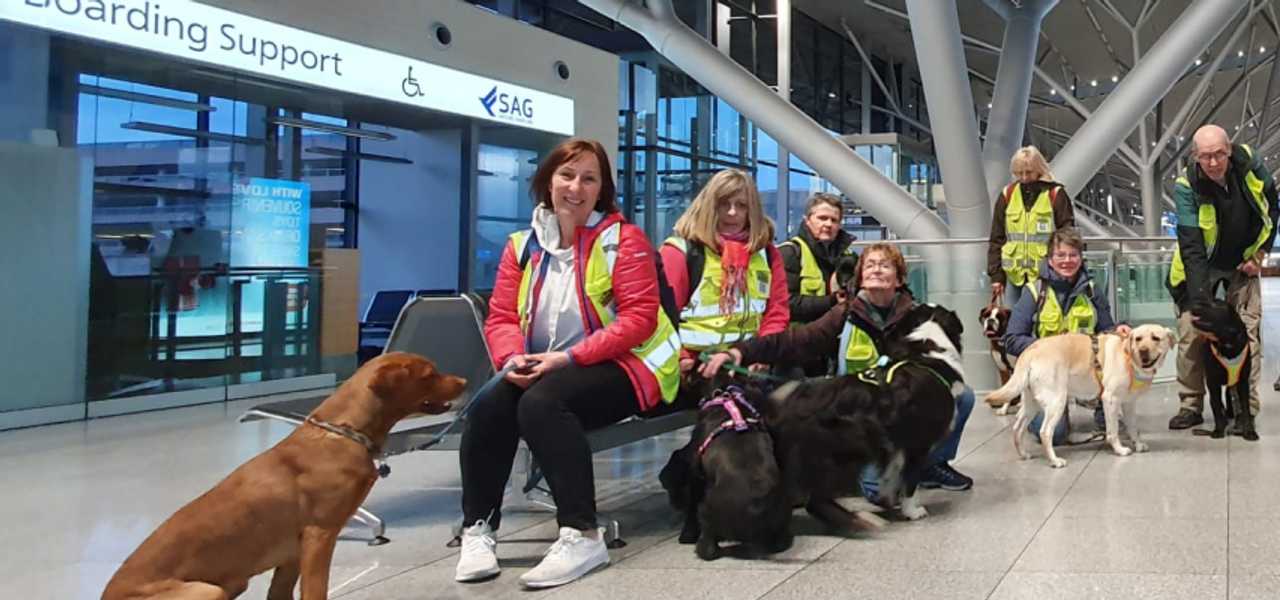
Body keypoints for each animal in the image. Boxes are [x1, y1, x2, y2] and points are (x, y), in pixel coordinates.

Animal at [103, 350, 465, 598]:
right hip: (206, 589)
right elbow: (315, 592)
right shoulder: (319, 536)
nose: (464, 381)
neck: (347, 432)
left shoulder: (292, 555)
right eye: (429, 373)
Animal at [660, 376, 788, 557]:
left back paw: (701, 547)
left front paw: (687, 535)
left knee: (709, 545)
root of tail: (758, 504)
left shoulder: (695, 471)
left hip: (706, 508)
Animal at [762, 301, 962, 521]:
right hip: (846, 445)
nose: (913, 302)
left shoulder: (896, 445)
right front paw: (912, 511)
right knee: (815, 499)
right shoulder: (917, 443)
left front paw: (888, 500)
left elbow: (890, 475)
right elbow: (909, 482)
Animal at [1187, 298, 1259, 440]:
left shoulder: (1243, 382)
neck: (1227, 342)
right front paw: (1218, 430)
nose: (1192, 305)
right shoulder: (1212, 382)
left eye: (1214, 304)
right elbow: (1216, 406)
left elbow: (1245, 408)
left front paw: (1249, 431)